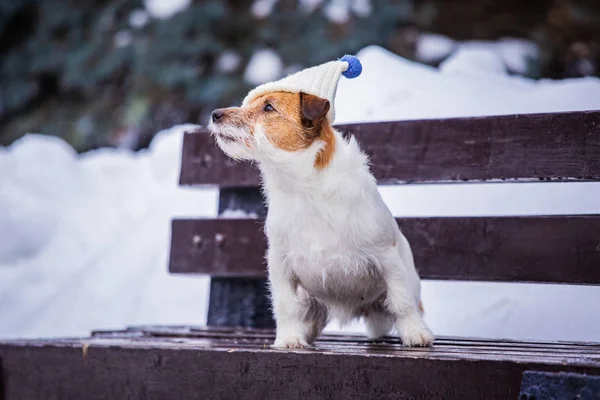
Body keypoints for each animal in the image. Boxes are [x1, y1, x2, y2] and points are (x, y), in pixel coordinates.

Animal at [209, 55, 434, 346]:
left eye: (268, 107)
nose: (215, 114)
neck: (303, 187)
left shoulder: (387, 258)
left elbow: (401, 300)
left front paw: (415, 333)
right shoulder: (281, 265)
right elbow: (285, 305)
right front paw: (289, 338)